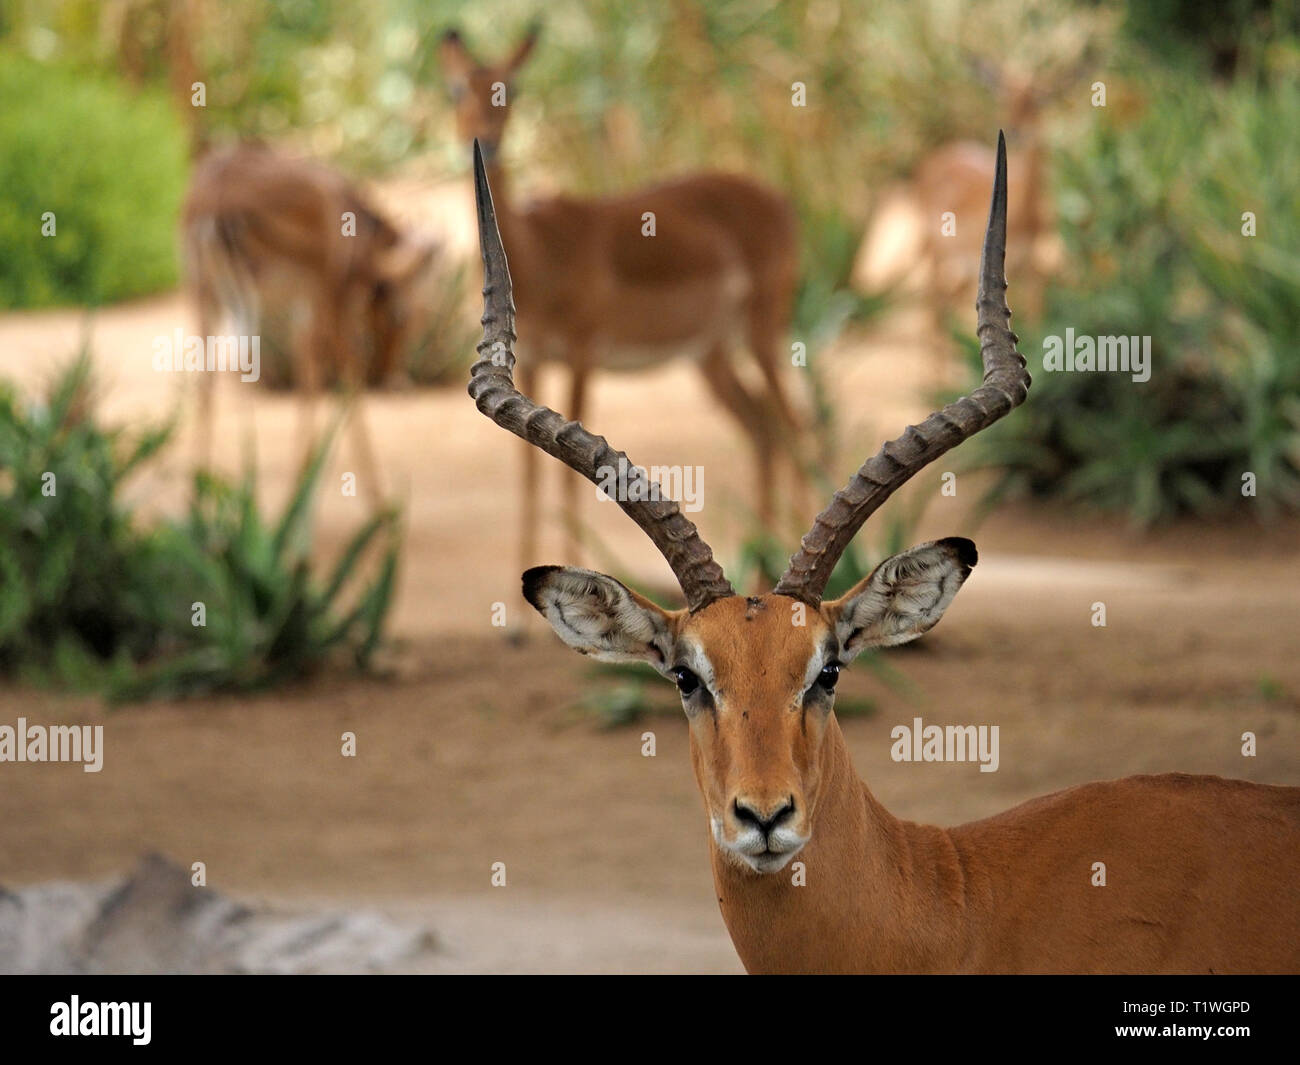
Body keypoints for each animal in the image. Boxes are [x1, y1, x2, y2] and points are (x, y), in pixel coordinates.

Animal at [180, 141, 439, 504]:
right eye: (404, 316)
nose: (394, 379)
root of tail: (217, 192)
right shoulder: (326, 298)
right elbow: (334, 372)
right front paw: (371, 501)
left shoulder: (303, 305)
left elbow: (308, 370)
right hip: (248, 299)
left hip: (206, 294)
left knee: (206, 379)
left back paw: (202, 498)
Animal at [441, 27, 806, 566]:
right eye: (455, 90)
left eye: (511, 90)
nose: (486, 140)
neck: (538, 248)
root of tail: (777, 199)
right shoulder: (533, 360)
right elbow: (529, 474)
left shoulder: (582, 353)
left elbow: (567, 478)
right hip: (711, 355)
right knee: (764, 430)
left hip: (762, 332)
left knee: (794, 425)